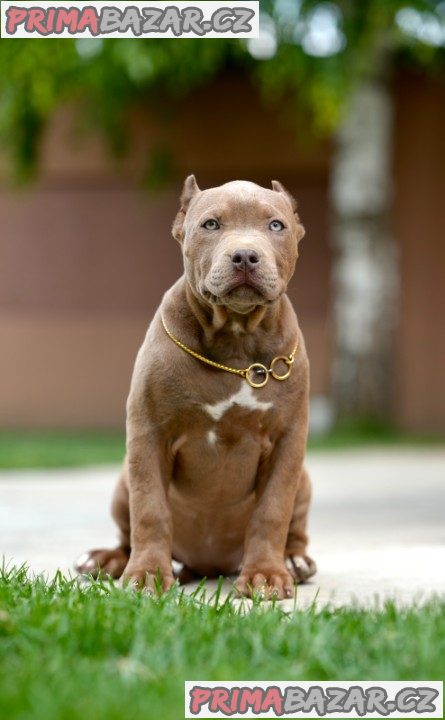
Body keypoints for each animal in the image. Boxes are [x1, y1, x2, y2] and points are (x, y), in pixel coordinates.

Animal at [74, 177, 314, 600]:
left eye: (276, 225)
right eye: (211, 224)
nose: (245, 256)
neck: (236, 342)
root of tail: (208, 566)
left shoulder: (288, 442)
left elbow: (272, 510)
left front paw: (266, 576)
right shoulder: (148, 433)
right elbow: (150, 508)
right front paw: (147, 575)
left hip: (304, 479)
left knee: (295, 529)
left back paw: (294, 562)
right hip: (121, 480)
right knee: (127, 534)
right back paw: (107, 561)